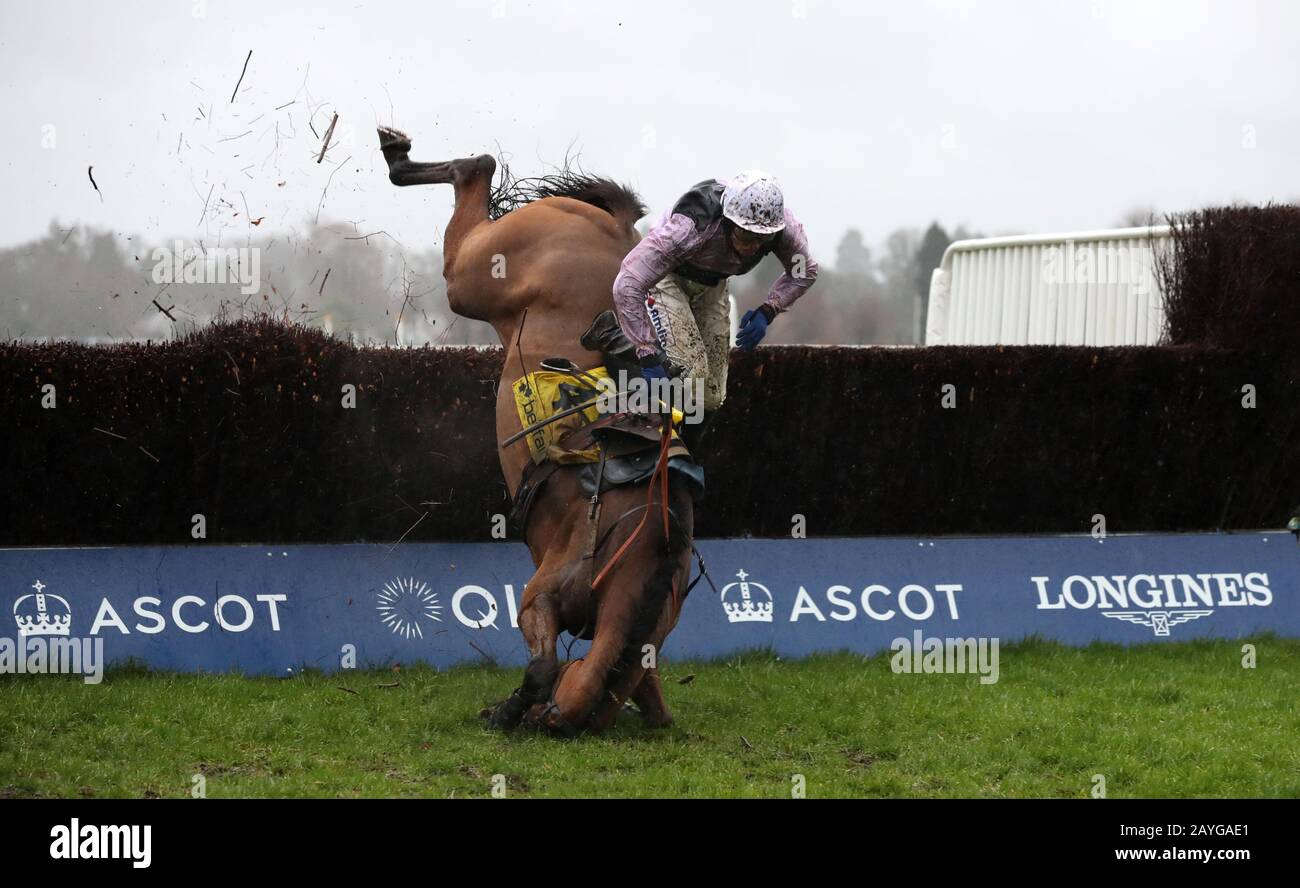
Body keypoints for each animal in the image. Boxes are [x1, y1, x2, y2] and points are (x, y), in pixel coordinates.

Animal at [379, 126, 696, 738]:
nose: (548, 718)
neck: (636, 544)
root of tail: (614, 229)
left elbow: (646, 692)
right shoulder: (537, 599)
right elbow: (544, 664)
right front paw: (508, 708)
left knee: (476, 168)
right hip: (474, 276)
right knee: (476, 170)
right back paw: (400, 157)